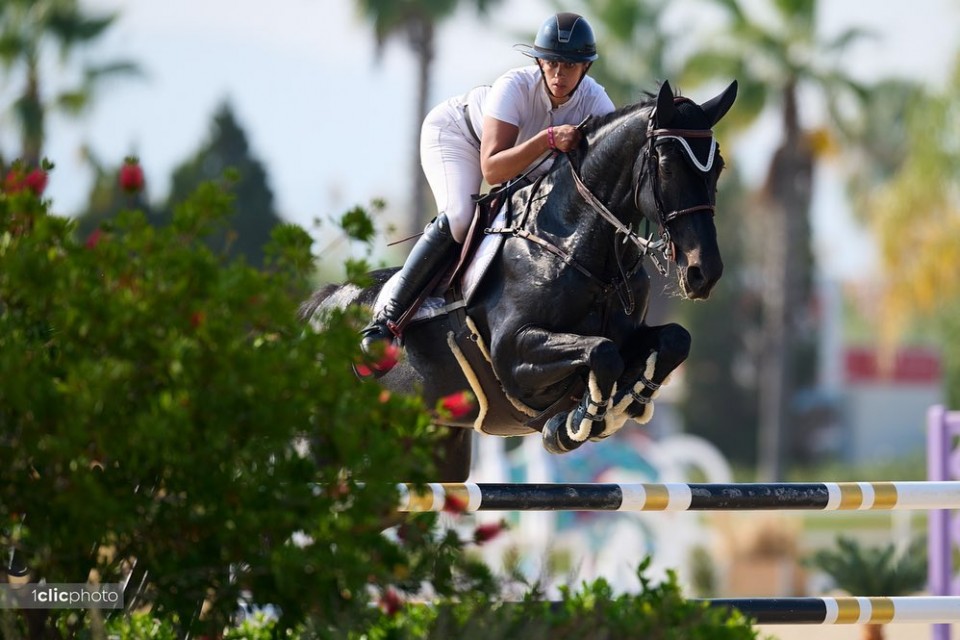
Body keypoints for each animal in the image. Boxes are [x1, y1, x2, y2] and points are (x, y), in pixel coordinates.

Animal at [304, 80, 740, 480]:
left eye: (717, 166)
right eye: (667, 164)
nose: (704, 273)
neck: (575, 248)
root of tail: (319, 308)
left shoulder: (630, 335)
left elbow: (673, 340)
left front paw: (630, 400)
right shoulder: (514, 355)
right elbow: (601, 352)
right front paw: (577, 424)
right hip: (319, 441)